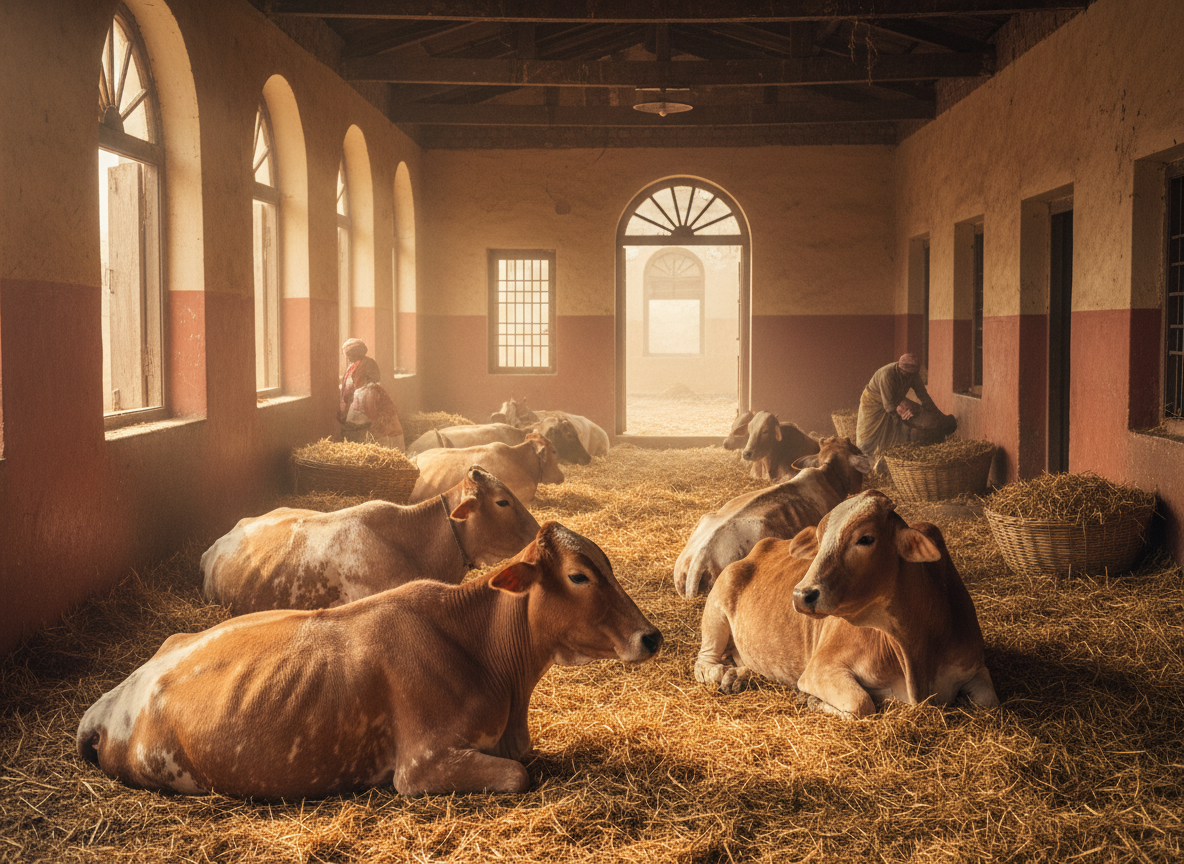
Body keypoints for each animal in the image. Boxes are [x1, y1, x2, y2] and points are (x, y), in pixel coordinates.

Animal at [693, 489, 998, 718]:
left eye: (866, 538)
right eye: (818, 540)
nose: (801, 595)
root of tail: (758, 548)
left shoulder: (975, 666)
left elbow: (988, 701)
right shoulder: (821, 669)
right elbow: (861, 704)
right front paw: (808, 698)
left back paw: (739, 675)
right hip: (717, 608)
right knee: (703, 663)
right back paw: (724, 675)